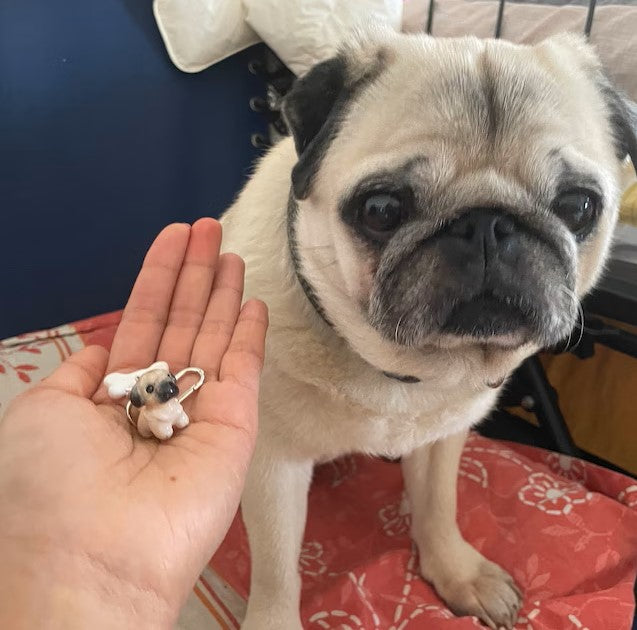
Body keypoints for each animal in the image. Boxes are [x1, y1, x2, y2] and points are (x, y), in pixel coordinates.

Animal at [220, 28, 637, 629]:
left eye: (578, 206)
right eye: (380, 209)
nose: (488, 224)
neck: (404, 369)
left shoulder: (442, 440)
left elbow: (439, 507)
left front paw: (454, 571)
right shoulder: (274, 465)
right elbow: (277, 569)